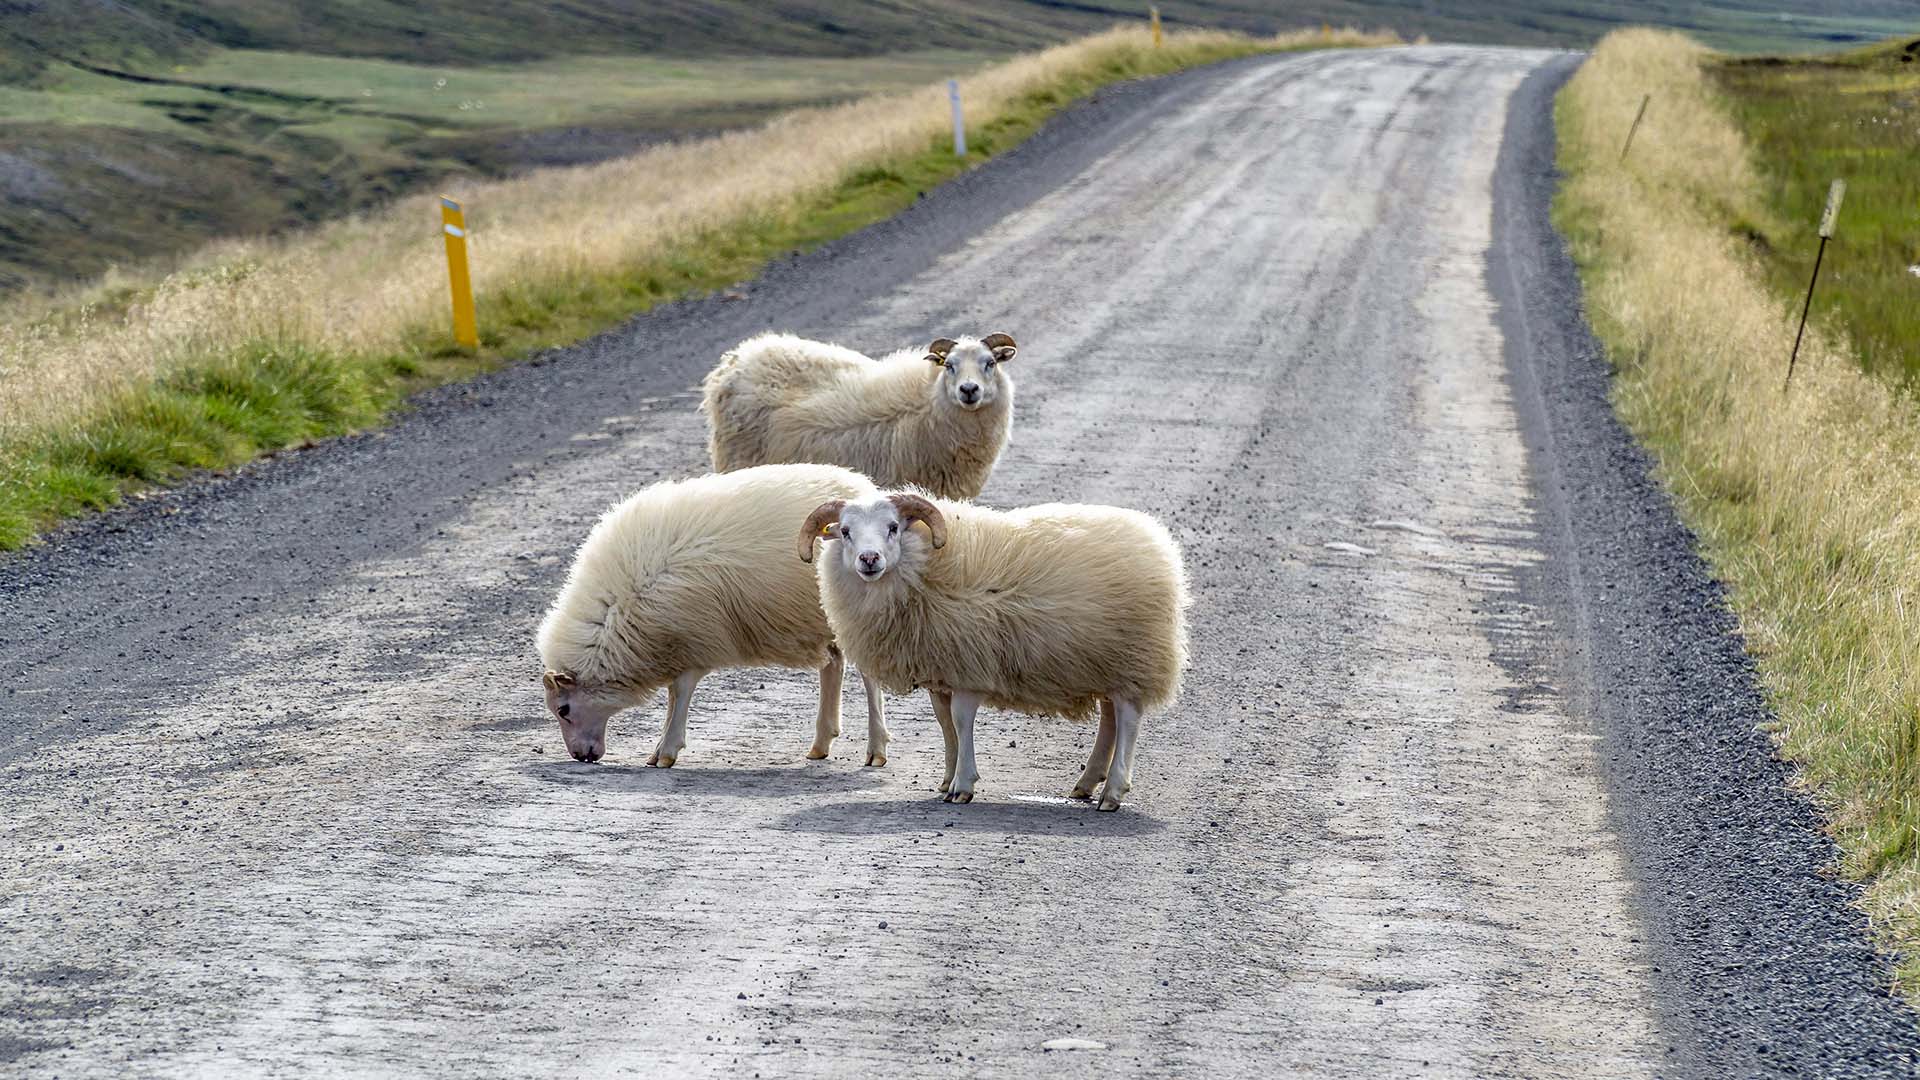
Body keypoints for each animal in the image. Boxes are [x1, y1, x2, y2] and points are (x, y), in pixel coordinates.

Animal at [533, 463, 890, 764]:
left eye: (563, 709)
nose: (581, 756)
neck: (617, 609)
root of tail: (861, 486)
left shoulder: (697, 636)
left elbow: (680, 692)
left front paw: (666, 751)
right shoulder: (677, 641)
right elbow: (673, 695)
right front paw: (659, 749)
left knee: (867, 676)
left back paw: (876, 749)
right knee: (833, 664)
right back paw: (821, 743)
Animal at [794, 488, 1182, 807]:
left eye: (892, 527)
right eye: (845, 531)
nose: (869, 559)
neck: (924, 569)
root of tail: (1156, 542)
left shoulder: (969, 665)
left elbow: (961, 720)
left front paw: (963, 786)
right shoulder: (941, 671)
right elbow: (945, 724)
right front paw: (947, 779)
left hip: (1136, 656)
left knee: (1128, 718)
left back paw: (1113, 792)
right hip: (1103, 660)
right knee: (1110, 717)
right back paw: (1087, 783)